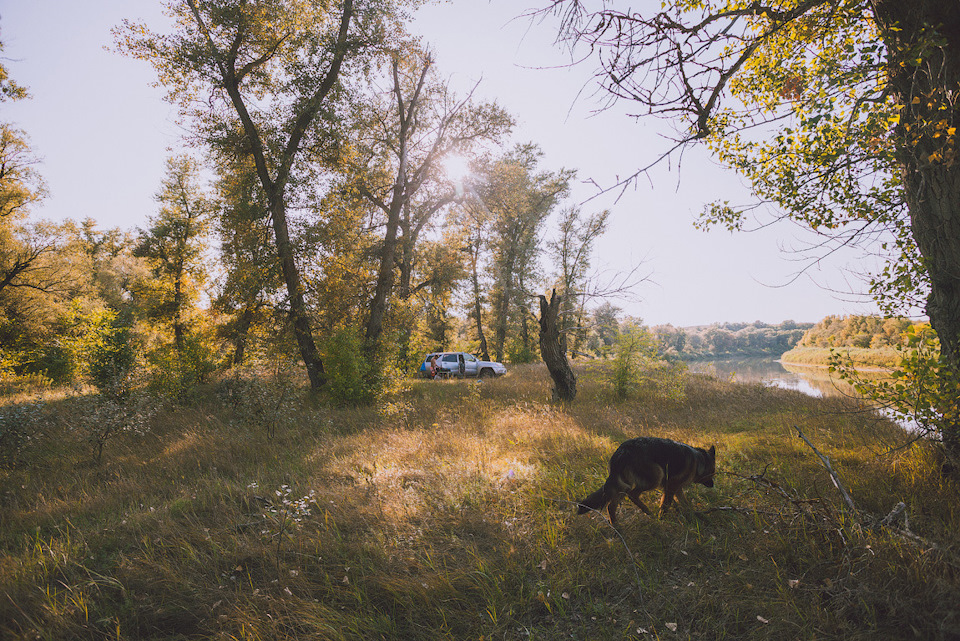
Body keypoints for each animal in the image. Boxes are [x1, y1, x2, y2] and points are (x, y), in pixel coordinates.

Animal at [576, 436, 712, 524]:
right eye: (712, 473)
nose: (712, 485)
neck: (698, 460)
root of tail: (622, 452)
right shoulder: (672, 485)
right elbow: (666, 504)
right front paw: (662, 518)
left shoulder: (673, 487)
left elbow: (681, 502)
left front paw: (694, 515)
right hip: (655, 477)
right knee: (632, 494)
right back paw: (647, 511)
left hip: (623, 485)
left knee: (611, 505)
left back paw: (616, 526)